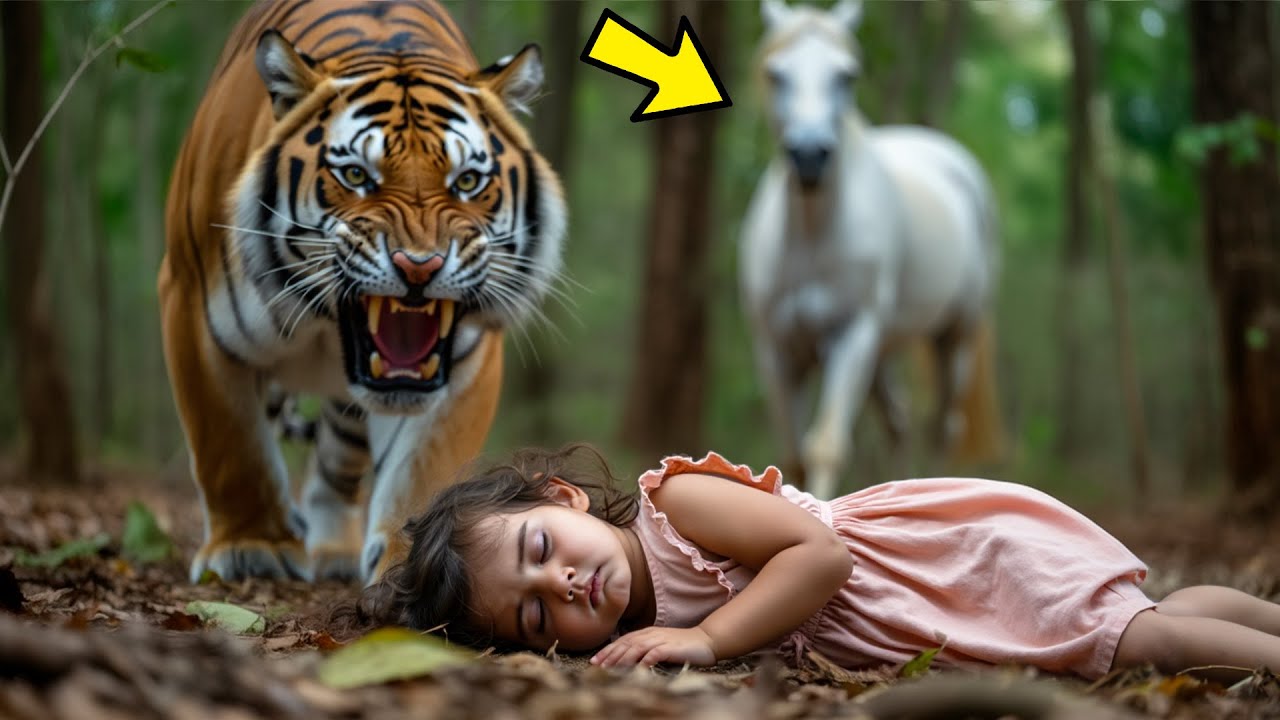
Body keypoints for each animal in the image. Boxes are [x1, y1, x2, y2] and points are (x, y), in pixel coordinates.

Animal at [158, 0, 566, 585]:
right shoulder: (191, 300)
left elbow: (424, 466)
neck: (322, 325)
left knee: (336, 464)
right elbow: (229, 443)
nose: (419, 266)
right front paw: (251, 546)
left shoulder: (466, 359)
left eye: (467, 181)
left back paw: (333, 553)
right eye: (355, 175)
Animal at [739, 0, 1003, 499]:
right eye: (775, 73)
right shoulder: (776, 350)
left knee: (944, 428)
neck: (811, 240)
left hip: (952, 334)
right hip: (883, 355)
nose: (809, 155)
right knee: (899, 424)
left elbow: (824, 445)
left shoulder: (852, 335)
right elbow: (793, 455)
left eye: (847, 75)